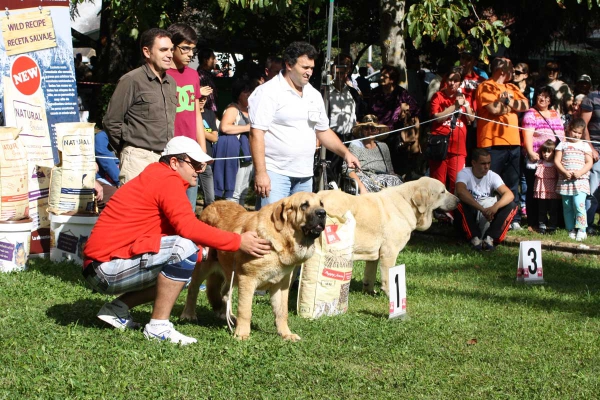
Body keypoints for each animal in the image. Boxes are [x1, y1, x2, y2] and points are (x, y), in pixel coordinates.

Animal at [180, 193, 326, 340]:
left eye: (321, 204)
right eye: (304, 205)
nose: (322, 213)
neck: (282, 240)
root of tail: (211, 205)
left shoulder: (281, 285)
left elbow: (282, 312)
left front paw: (286, 334)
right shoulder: (247, 279)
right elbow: (245, 310)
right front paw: (242, 334)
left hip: (230, 273)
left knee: (224, 293)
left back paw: (226, 315)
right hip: (203, 265)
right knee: (193, 289)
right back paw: (188, 315)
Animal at [322, 177, 458, 296]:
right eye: (442, 191)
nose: (458, 201)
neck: (408, 203)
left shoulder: (374, 253)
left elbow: (369, 274)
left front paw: (369, 292)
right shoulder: (389, 252)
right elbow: (388, 276)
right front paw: (391, 294)